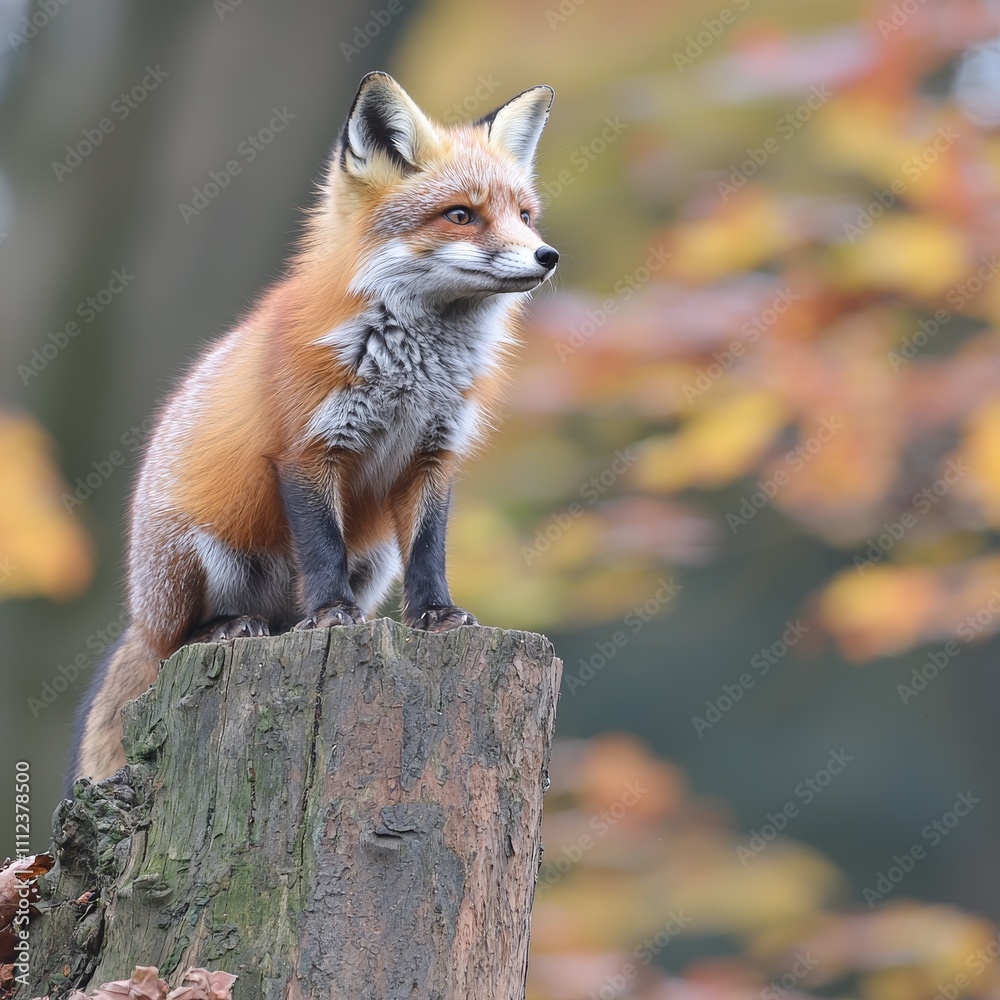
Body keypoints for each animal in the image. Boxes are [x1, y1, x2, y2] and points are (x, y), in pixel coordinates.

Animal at [71, 72, 558, 785]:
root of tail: (140, 617)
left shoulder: (433, 454)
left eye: (524, 216)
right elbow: (322, 544)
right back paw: (228, 628)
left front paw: (436, 615)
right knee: (180, 640)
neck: (410, 364)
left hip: (374, 558)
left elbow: (430, 550)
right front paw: (331, 616)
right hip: (199, 556)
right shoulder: (307, 447)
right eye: (460, 215)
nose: (547, 255)